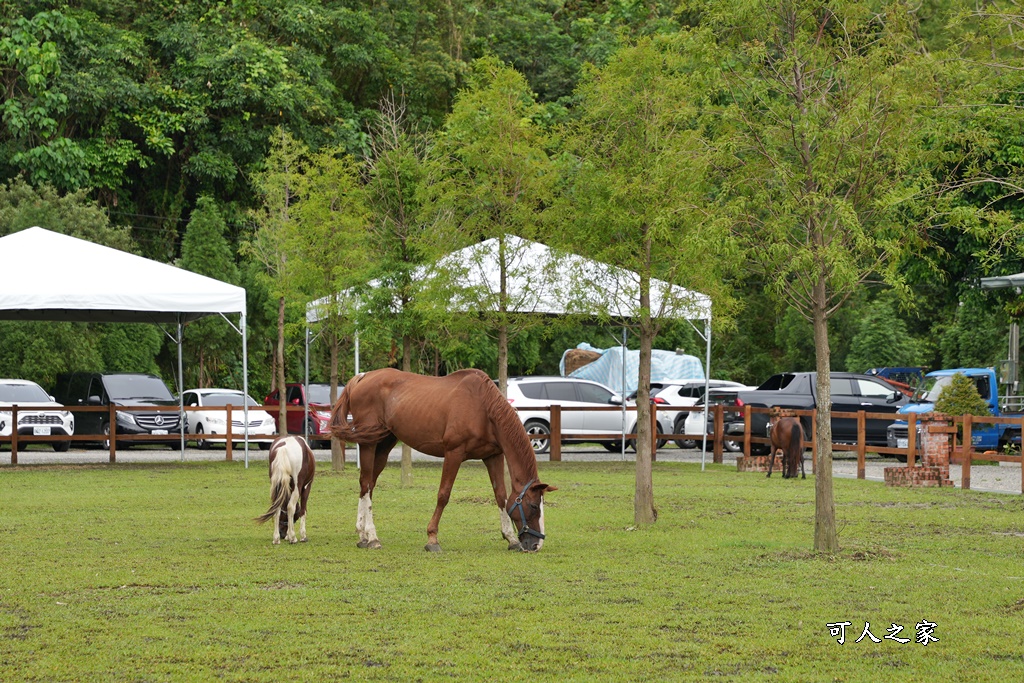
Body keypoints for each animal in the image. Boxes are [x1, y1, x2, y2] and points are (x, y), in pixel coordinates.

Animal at [329, 370, 557, 552]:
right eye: (534, 506)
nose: (536, 545)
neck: (483, 408)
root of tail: (363, 376)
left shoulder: (493, 456)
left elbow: (500, 495)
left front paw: (510, 538)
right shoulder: (453, 454)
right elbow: (443, 495)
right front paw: (432, 539)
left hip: (384, 444)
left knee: (367, 485)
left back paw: (362, 535)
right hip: (369, 444)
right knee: (367, 484)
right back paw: (372, 537)